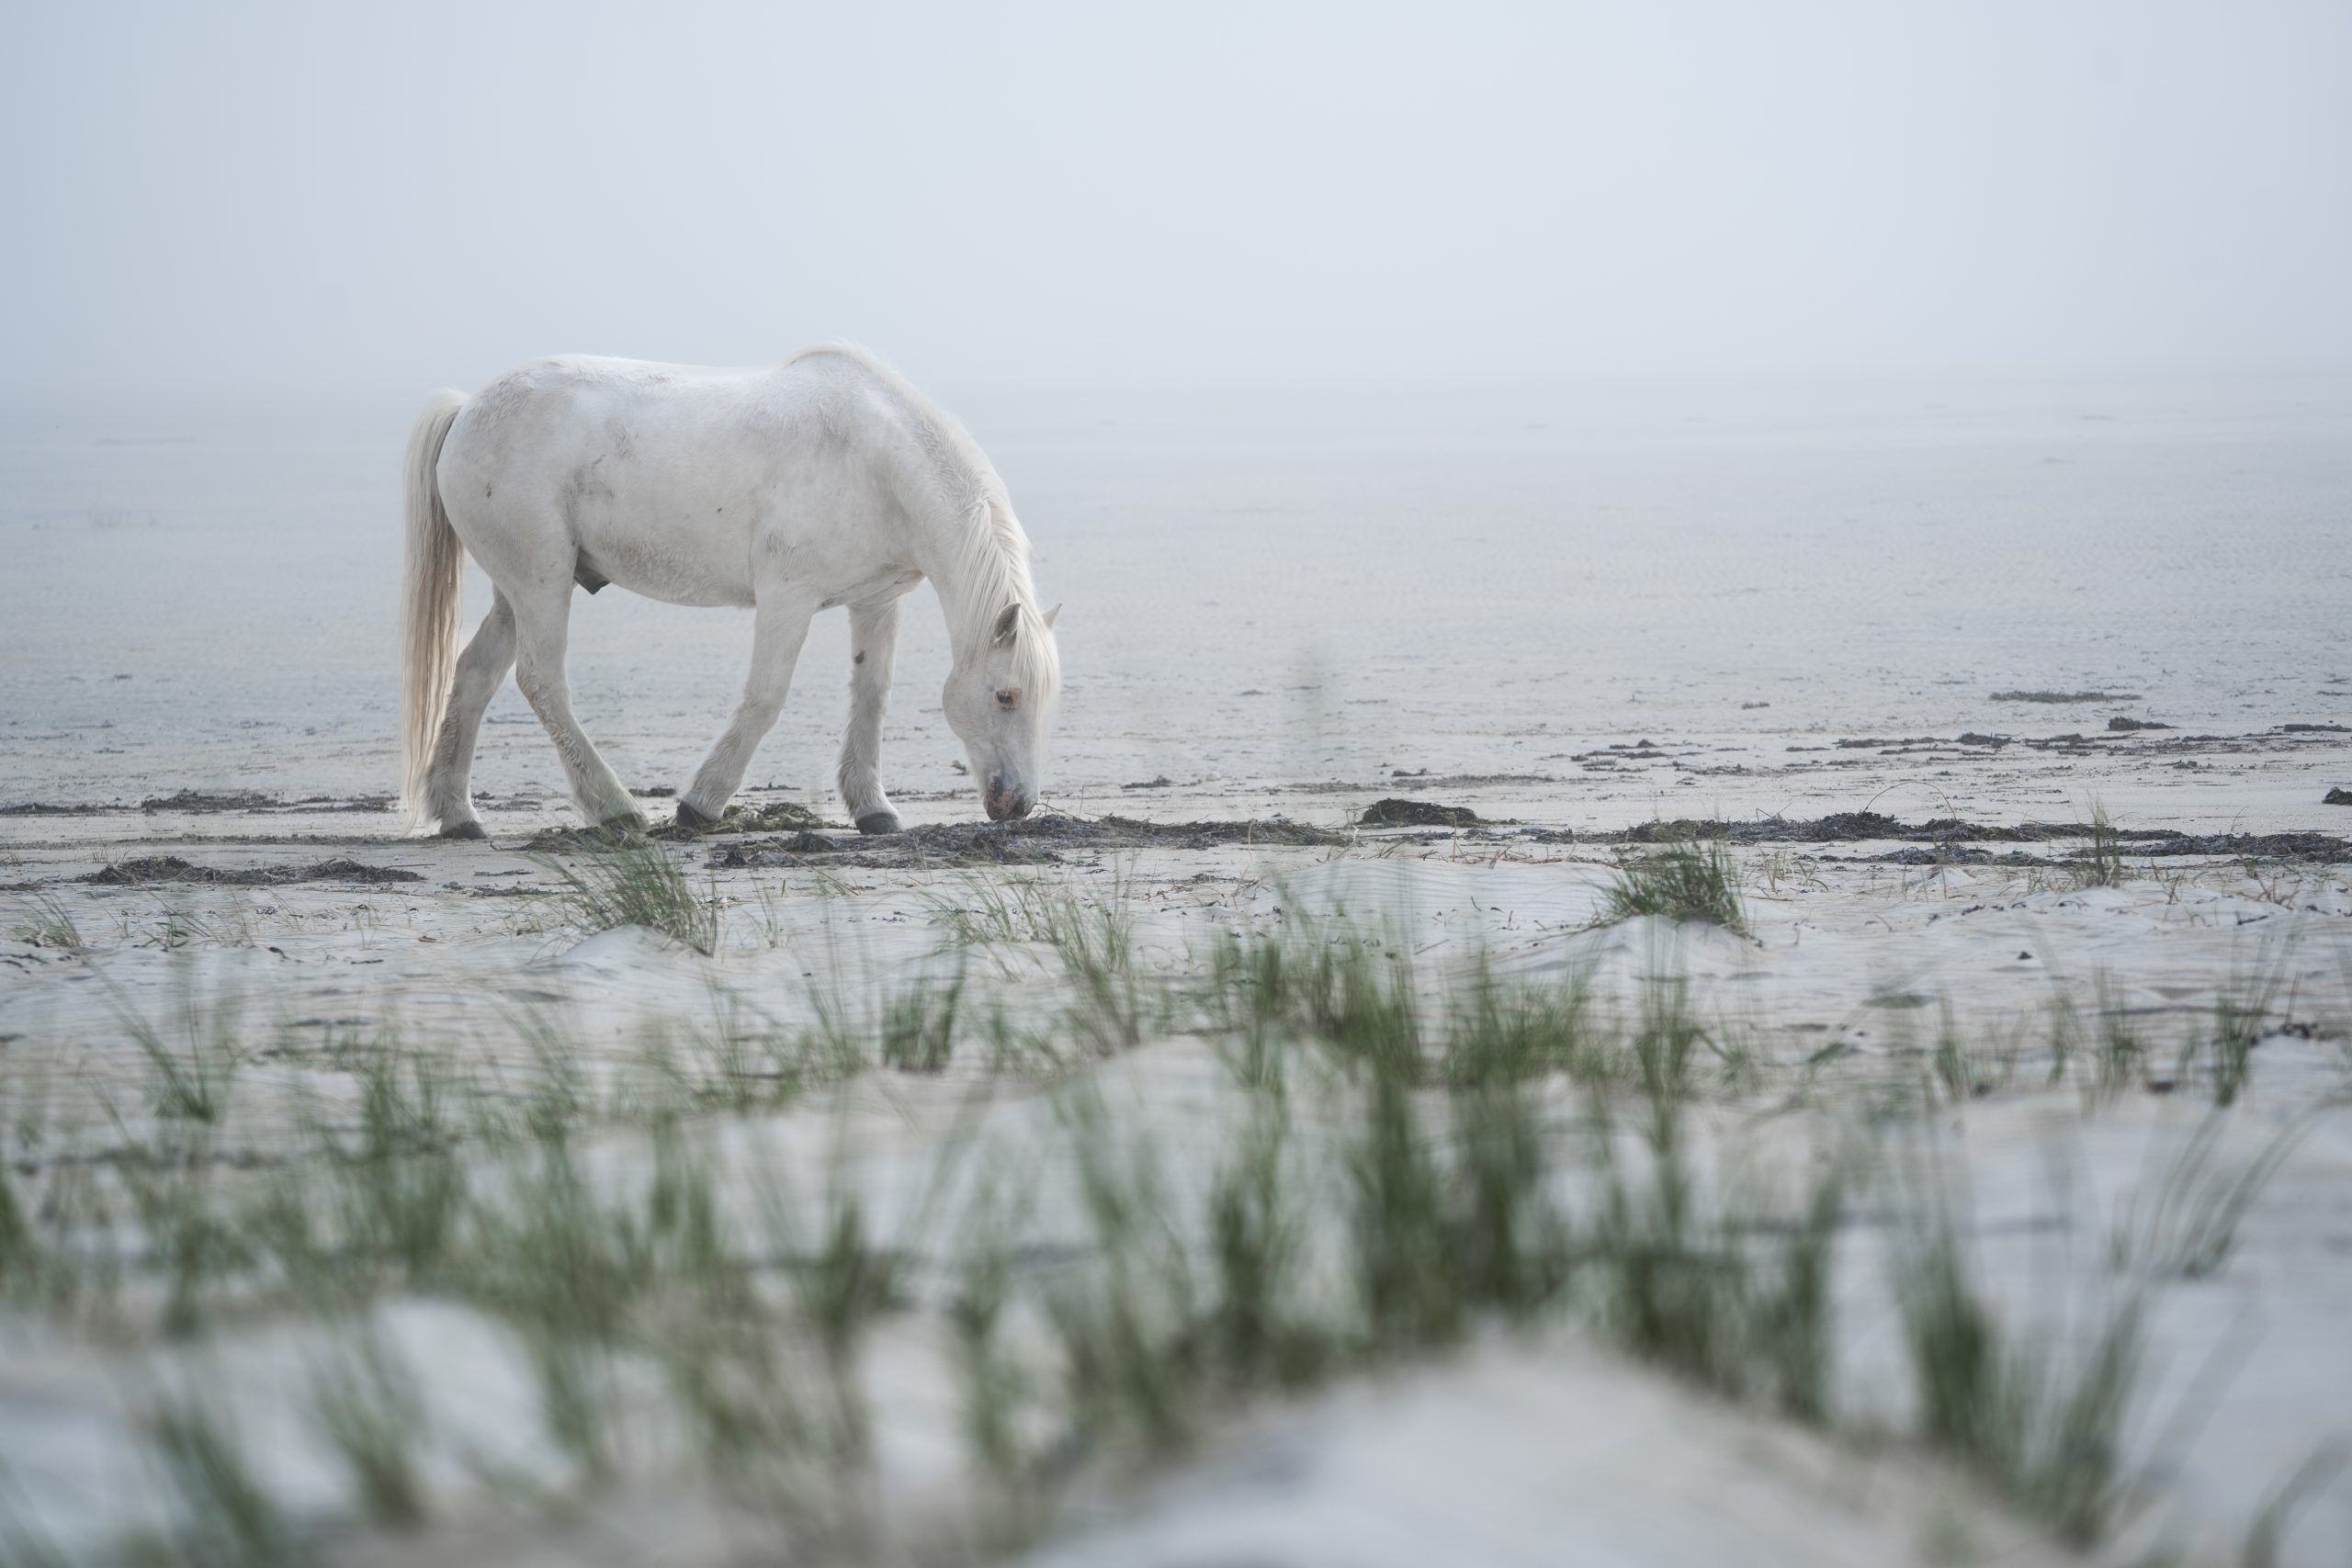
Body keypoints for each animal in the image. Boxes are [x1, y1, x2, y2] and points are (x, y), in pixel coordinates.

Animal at [398, 345, 1061, 839]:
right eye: (1005, 695)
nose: (1018, 804)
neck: (875, 461)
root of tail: (468, 409)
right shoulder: (788, 597)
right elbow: (766, 698)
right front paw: (700, 804)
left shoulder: (876, 601)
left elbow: (871, 696)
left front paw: (872, 808)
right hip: (541, 581)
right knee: (542, 682)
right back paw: (616, 809)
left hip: (515, 590)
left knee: (474, 675)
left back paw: (458, 815)